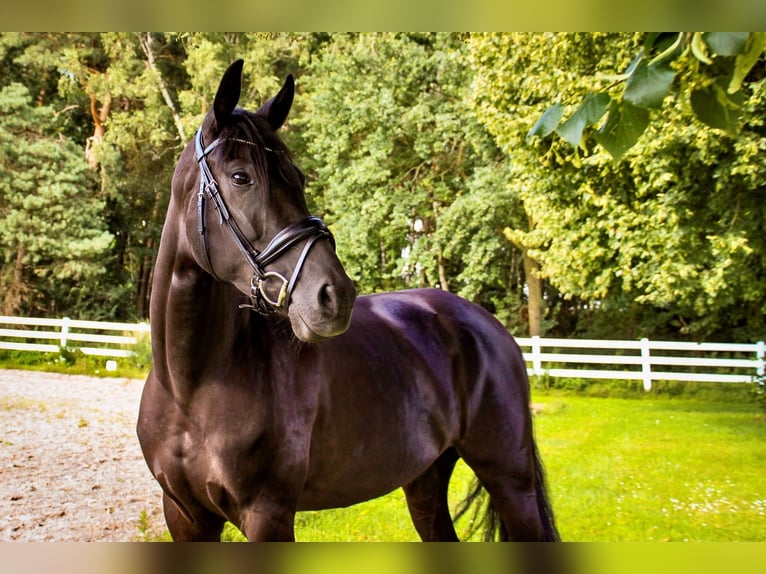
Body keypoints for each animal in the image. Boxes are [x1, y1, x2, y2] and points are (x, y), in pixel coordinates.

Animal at [136, 62, 560, 544]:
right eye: (241, 177)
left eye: (298, 178)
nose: (336, 295)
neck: (193, 386)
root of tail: (491, 329)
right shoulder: (185, 517)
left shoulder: (268, 516)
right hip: (427, 478)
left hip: (509, 477)